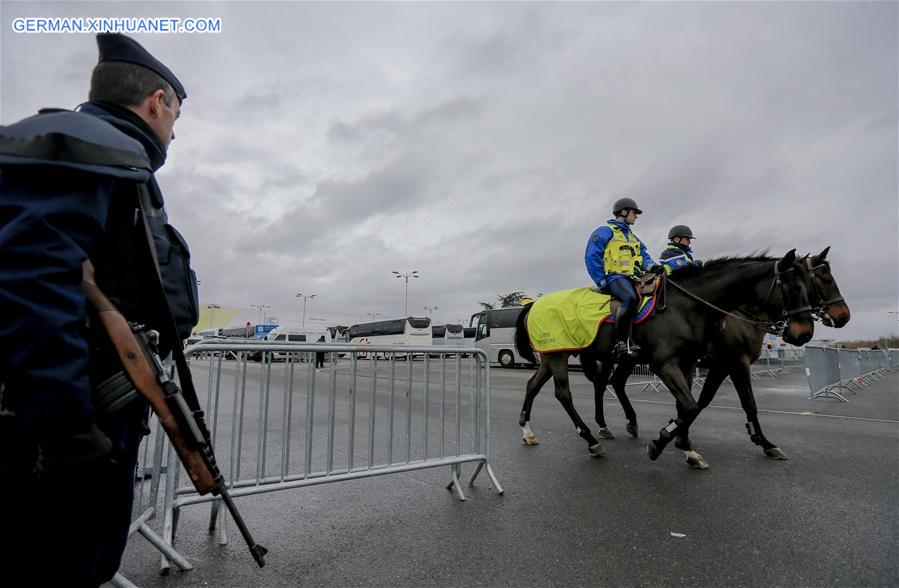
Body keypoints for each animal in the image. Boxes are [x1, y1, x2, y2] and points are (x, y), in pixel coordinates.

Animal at [512, 250, 816, 466]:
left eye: (809, 284)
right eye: (792, 287)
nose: (804, 333)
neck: (686, 306)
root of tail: (533, 304)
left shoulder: (689, 363)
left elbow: (689, 405)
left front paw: (685, 446)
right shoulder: (671, 364)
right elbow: (693, 405)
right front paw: (661, 443)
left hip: (552, 356)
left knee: (534, 386)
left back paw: (528, 431)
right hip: (561, 355)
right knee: (564, 394)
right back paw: (590, 439)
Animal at [592, 246, 852, 462]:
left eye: (808, 283)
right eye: (822, 279)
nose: (843, 316)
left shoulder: (712, 366)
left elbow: (702, 402)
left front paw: (683, 440)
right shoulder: (732, 363)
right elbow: (739, 403)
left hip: (628, 359)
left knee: (616, 382)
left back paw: (629, 424)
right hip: (610, 356)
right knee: (601, 384)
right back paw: (603, 427)